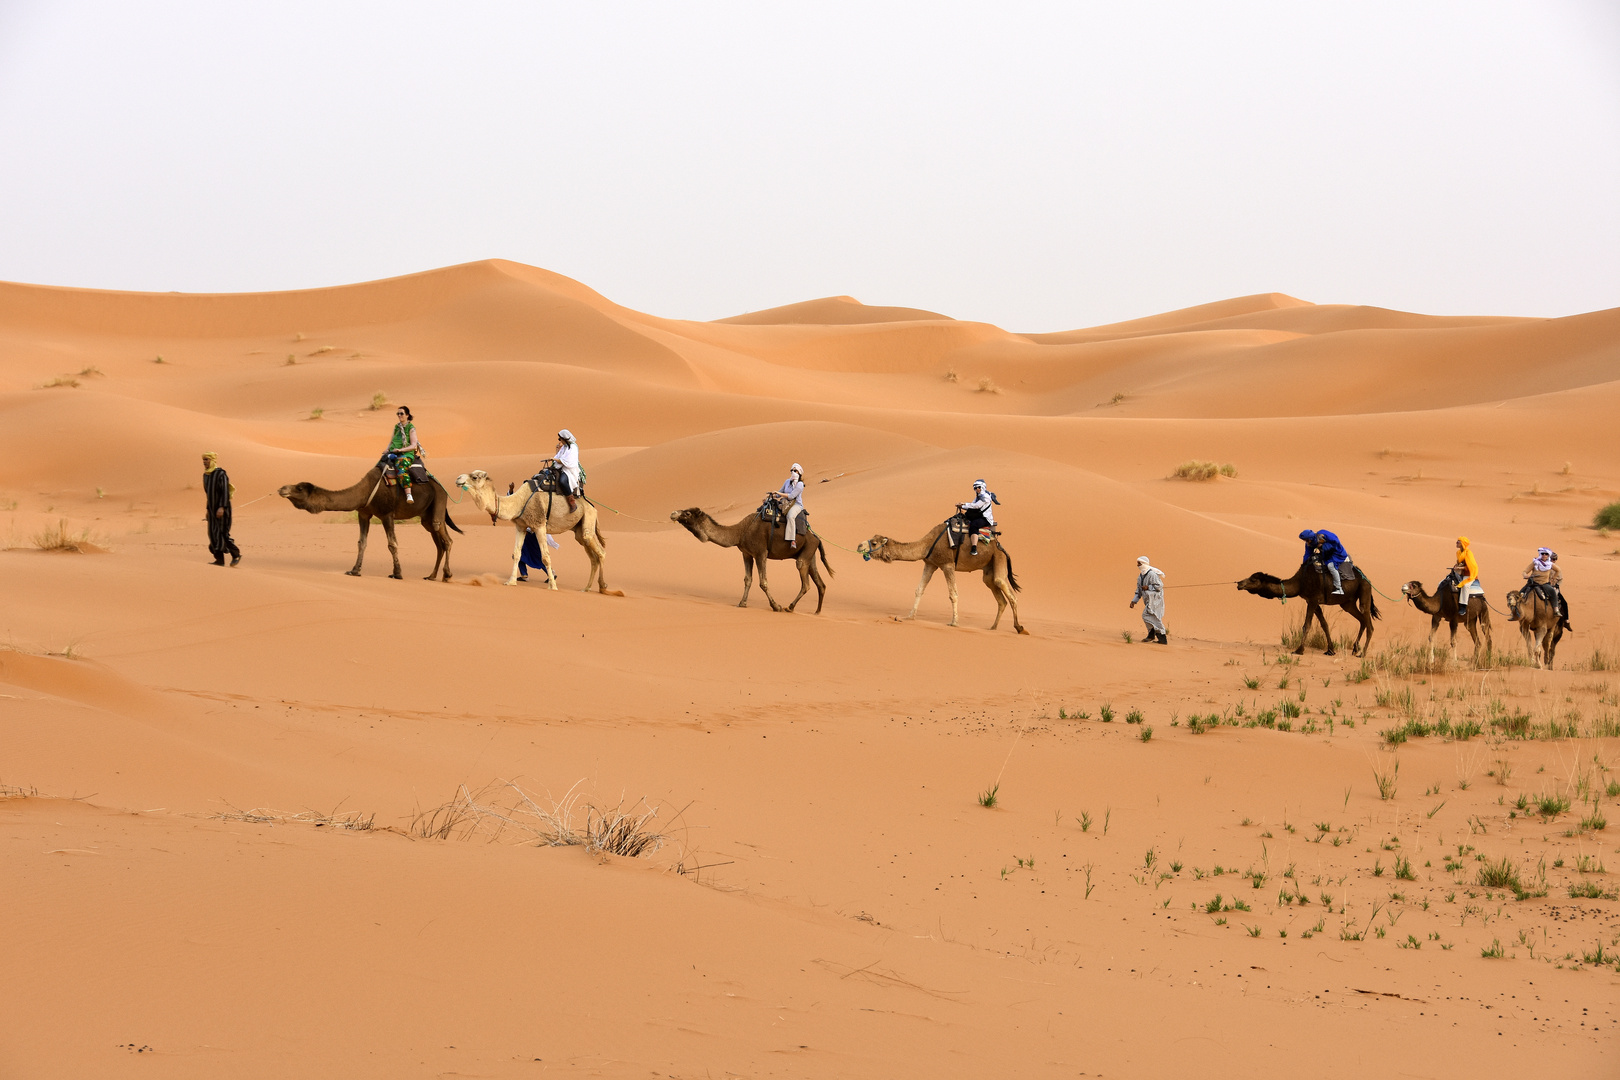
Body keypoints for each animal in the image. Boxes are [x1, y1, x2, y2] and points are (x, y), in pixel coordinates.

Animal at [280, 466, 463, 582]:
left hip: (439, 503)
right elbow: (361, 542)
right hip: (426, 517)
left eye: (299, 488)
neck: (365, 491)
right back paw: (431, 576)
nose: (282, 488)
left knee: (446, 539)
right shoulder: (364, 513)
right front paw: (354, 570)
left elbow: (392, 544)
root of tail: (442, 487)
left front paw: (397, 573)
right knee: (439, 543)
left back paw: (446, 575)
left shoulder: (386, 514)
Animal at [456, 469, 618, 595]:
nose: (458, 478)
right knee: (592, 557)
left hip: (588, 520)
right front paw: (511, 581)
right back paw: (587, 588)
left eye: (474, 477)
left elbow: (545, 557)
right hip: (579, 531)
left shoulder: (540, 525)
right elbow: (516, 553)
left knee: (600, 552)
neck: (520, 502)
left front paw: (553, 586)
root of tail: (593, 507)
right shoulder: (521, 527)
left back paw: (603, 587)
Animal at [670, 505, 835, 612]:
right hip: (810, 554)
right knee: (820, 583)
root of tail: (817, 538)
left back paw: (790, 607)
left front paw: (776, 606)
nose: (673, 513)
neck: (740, 532)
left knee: (806, 582)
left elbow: (763, 582)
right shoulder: (746, 553)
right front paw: (742, 603)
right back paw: (817, 612)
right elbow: (747, 579)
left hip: (806, 553)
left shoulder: (760, 553)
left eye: (687, 513)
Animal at [861, 524, 1023, 634]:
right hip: (989, 568)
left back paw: (1020, 628)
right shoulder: (930, 563)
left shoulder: (947, 564)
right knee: (999, 596)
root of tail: (1001, 547)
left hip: (998, 558)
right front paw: (909, 616)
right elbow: (919, 590)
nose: (859, 545)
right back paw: (993, 627)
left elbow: (953, 594)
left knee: (1006, 589)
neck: (928, 544)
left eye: (874, 543)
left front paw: (954, 622)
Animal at [1237, 566, 1380, 660]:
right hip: (1347, 603)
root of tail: (1367, 579)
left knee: (1369, 624)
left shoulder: (1313, 600)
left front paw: (1299, 650)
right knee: (1362, 620)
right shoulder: (1312, 602)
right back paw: (1355, 649)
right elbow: (1324, 624)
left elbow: (1307, 625)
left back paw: (1363, 654)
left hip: (1364, 591)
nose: (1239, 583)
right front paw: (1330, 650)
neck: (1300, 582)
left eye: (1253, 579)